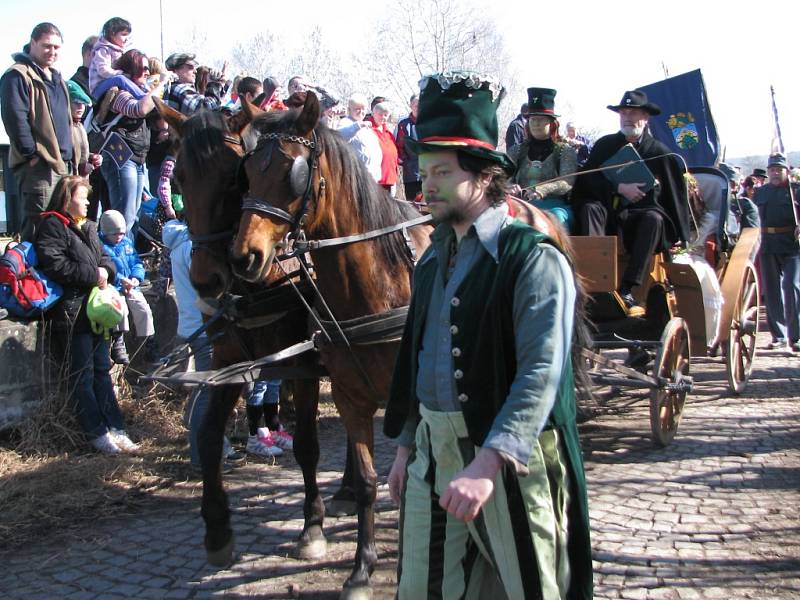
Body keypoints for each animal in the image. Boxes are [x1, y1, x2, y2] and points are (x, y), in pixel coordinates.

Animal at [155, 97, 330, 564]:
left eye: (232, 175)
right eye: (179, 177)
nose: (205, 280)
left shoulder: (304, 362)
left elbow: (308, 444)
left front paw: (313, 525)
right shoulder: (230, 362)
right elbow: (207, 434)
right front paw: (217, 528)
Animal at [231, 91, 432, 596]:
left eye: (293, 172)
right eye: (247, 172)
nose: (245, 258)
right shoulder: (344, 391)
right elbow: (366, 477)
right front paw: (360, 566)